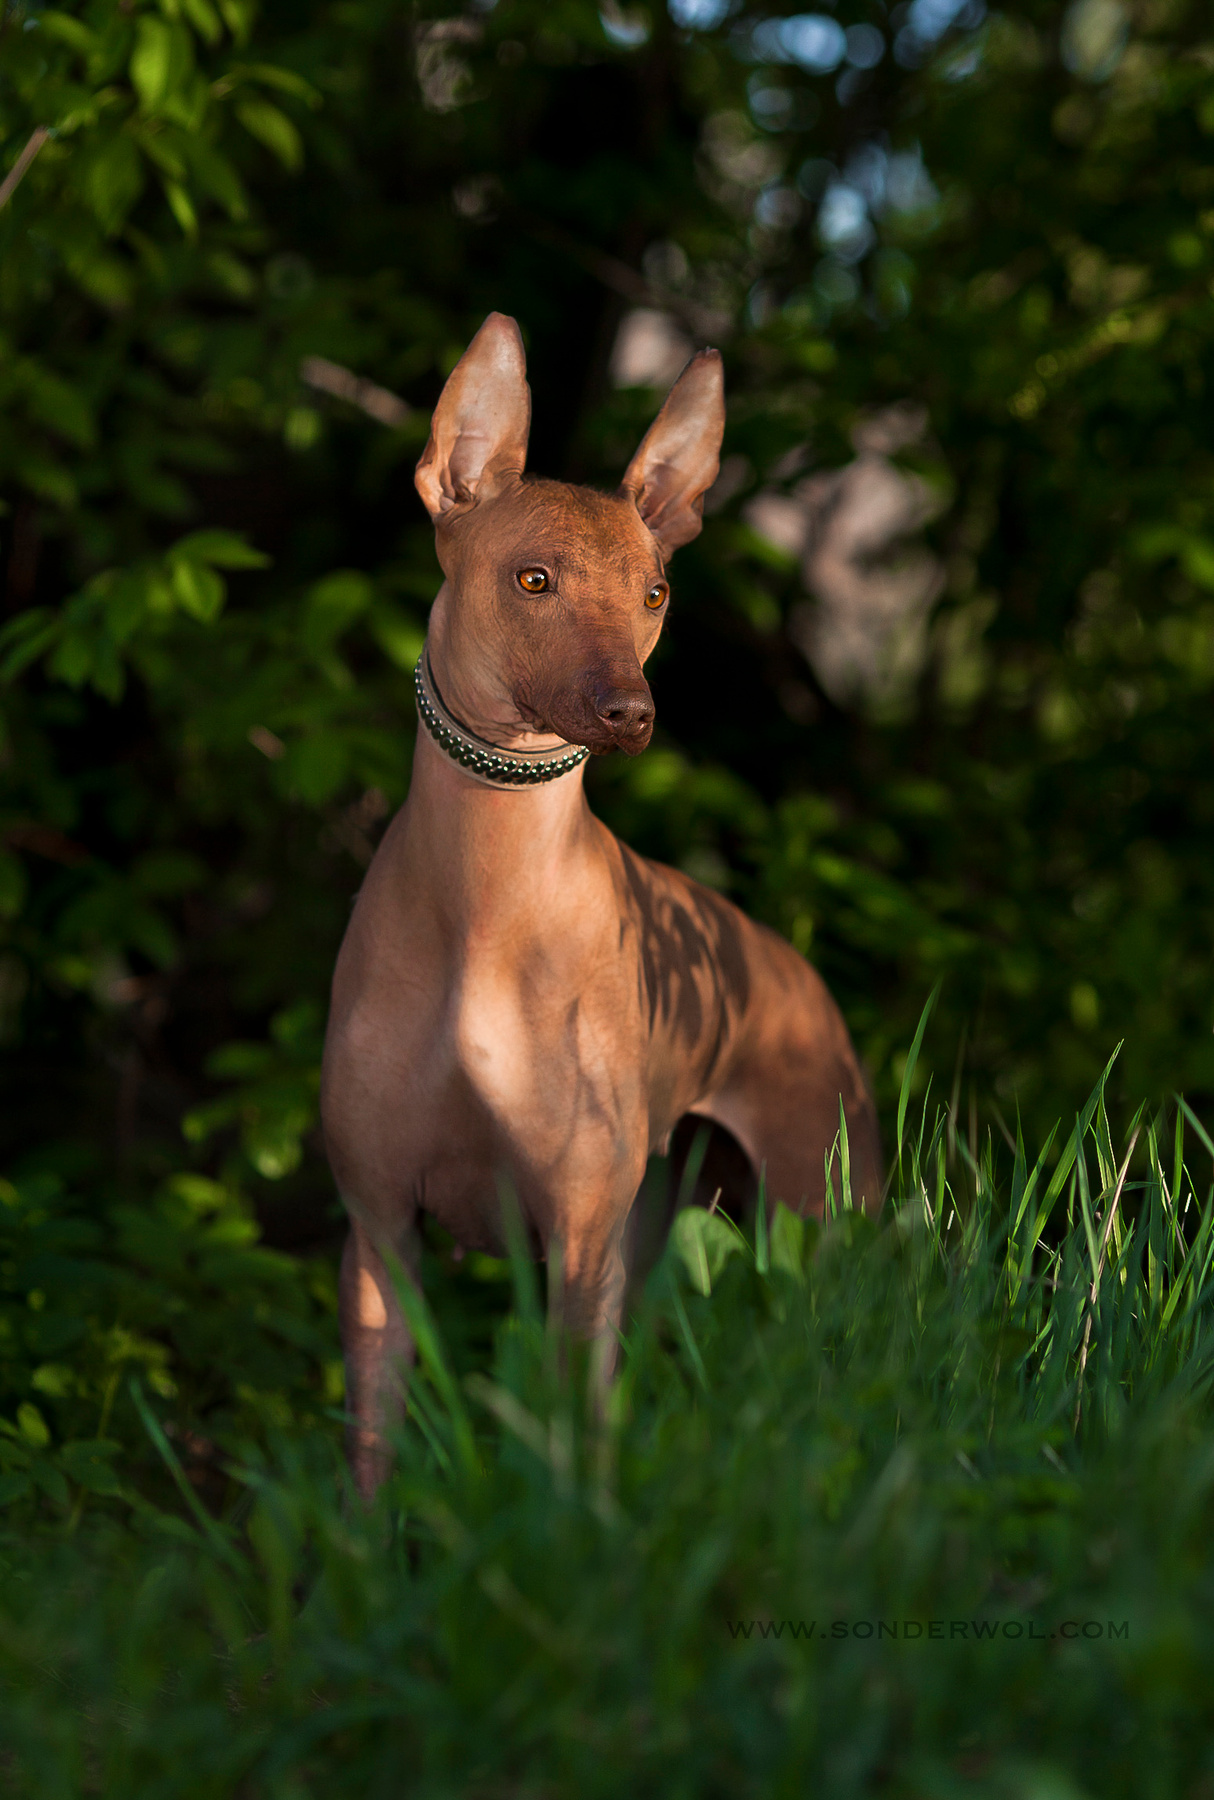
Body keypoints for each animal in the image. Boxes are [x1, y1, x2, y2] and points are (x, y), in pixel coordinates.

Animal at [321, 313, 881, 1500]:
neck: (486, 904)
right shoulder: (379, 1234)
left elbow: (573, 1444)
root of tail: (796, 971)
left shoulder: (581, 1244)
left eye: (656, 594)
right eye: (533, 578)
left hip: (813, 1209)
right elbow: (372, 1458)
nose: (631, 710)